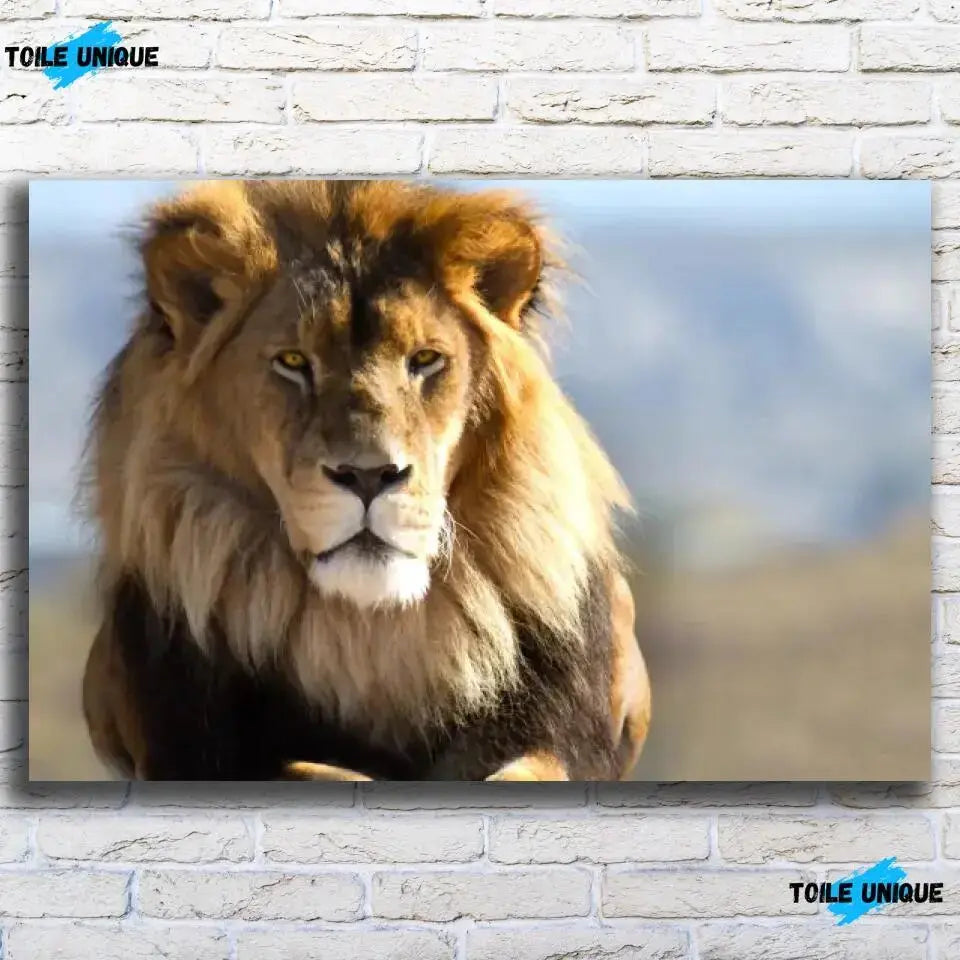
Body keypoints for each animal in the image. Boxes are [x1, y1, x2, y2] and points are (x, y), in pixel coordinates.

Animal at [81, 180, 651, 781]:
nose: (370, 474)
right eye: (292, 361)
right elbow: (303, 769)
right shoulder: (191, 748)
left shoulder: (564, 732)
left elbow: (530, 769)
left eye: (425, 359)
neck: (372, 633)